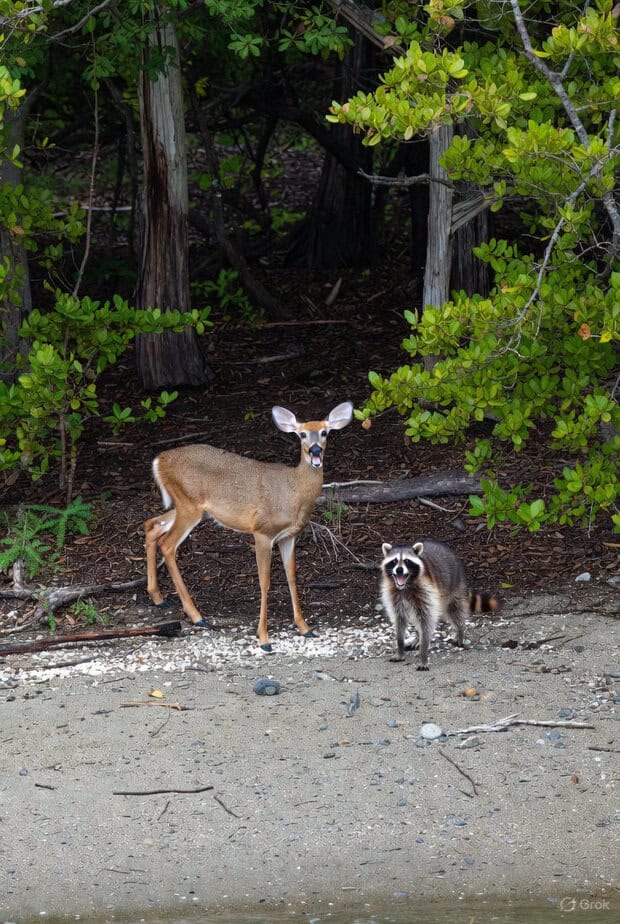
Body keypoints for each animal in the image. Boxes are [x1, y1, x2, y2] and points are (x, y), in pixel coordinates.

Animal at [144, 401, 354, 652]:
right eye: (302, 434)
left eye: (324, 432)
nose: (314, 450)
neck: (294, 492)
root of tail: (159, 459)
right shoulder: (262, 531)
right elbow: (264, 582)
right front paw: (264, 638)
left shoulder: (289, 536)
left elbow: (292, 576)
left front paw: (305, 628)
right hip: (189, 505)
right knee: (167, 544)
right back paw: (196, 616)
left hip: (193, 509)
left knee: (152, 525)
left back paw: (158, 598)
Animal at [380, 540, 498, 670]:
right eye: (394, 561)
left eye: (407, 561)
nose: (399, 570)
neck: (405, 586)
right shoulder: (395, 596)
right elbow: (400, 619)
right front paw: (400, 647)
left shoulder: (426, 591)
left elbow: (426, 621)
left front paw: (423, 654)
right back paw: (418, 637)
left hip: (454, 585)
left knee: (455, 611)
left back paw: (460, 632)